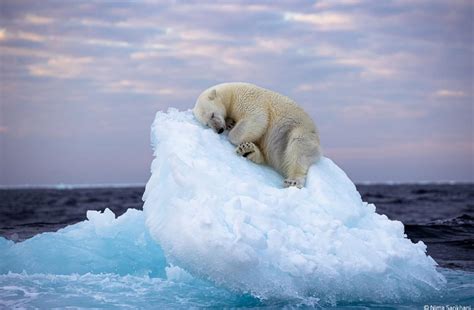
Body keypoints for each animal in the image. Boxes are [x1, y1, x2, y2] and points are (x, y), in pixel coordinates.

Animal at [193, 82, 322, 188]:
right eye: (207, 124)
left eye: (212, 114)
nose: (219, 129)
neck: (230, 93)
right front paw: (230, 123)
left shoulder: (247, 99)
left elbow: (257, 118)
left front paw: (232, 132)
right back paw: (248, 150)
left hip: (299, 130)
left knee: (298, 147)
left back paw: (293, 181)